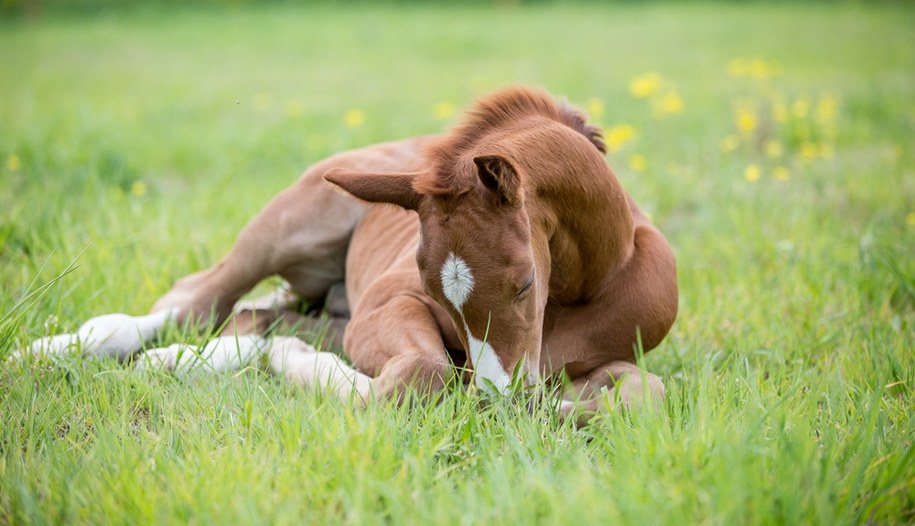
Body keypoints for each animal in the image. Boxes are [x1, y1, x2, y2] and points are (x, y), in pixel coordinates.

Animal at [12, 85, 680, 416]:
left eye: (523, 284)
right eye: (430, 287)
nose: (496, 396)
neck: (599, 277)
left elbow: (642, 399)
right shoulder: (388, 307)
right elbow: (421, 375)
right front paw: (294, 364)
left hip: (321, 298)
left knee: (251, 318)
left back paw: (183, 361)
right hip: (288, 228)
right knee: (197, 301)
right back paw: (50, 350)